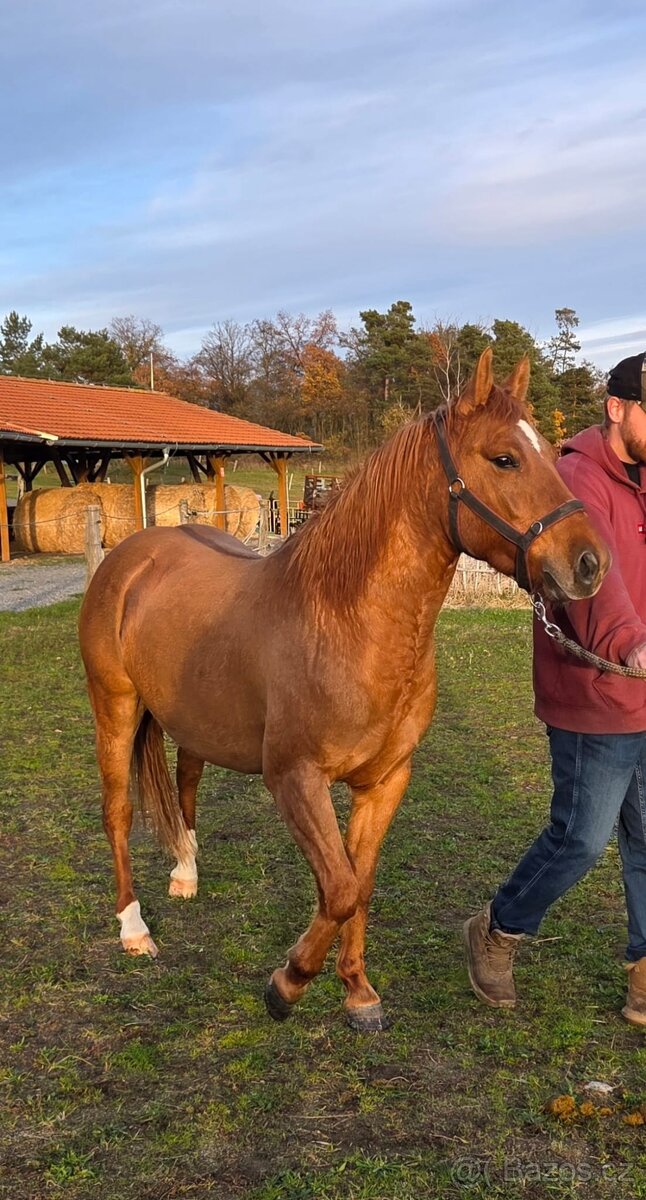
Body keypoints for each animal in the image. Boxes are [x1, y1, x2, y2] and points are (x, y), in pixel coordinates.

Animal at [78, 350, 609, 1032]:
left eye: (548, 450)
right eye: (504, 458)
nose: (590, 563)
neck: (346, 623)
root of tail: (133, 553)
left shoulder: (384, 781)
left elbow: (360, 884)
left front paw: (357, 991)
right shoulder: (295, 779)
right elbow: (338, 889)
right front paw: (288, 983)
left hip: (191, 715)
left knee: (186, 780)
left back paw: (186, 874)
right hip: (114, 709)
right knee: (117, 812)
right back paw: (134, 928)